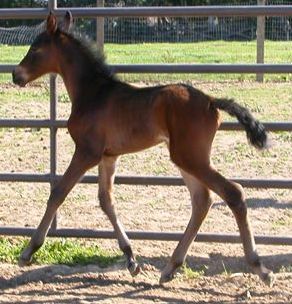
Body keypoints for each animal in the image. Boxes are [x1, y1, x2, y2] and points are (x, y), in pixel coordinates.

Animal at [12, 11, 274, 286]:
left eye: (35, 49)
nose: (15, 74)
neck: (93, 93)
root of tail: (211, 101)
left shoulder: (87, 152)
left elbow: (58, 192)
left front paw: (28, 251)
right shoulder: (109, 156)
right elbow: (106, 200)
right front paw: (130, 259)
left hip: (190, 157)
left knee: (233, 192)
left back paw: (260, 268)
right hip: (187, 158)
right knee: (202, 201)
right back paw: (170, 268)